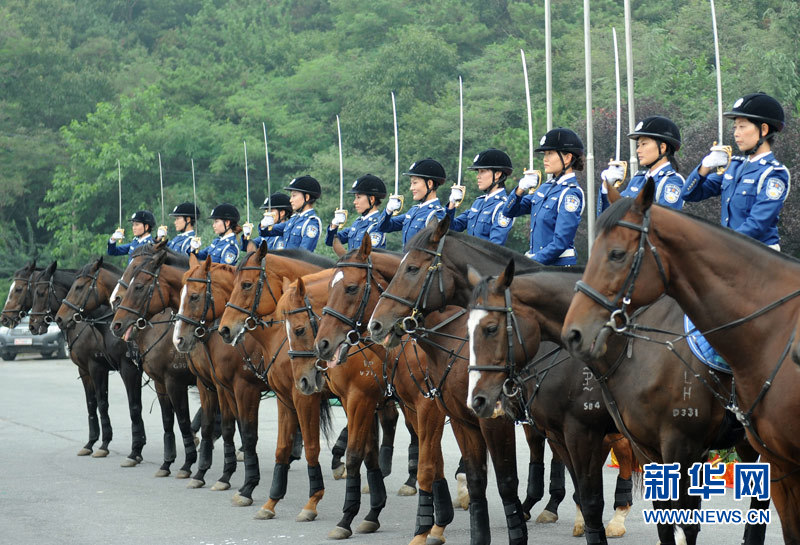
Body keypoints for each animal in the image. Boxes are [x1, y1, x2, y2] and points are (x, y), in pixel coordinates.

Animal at [28, 260, 147, 464]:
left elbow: (123, 405)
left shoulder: (116, 368)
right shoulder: (86, 370)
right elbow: (92, 403)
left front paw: (128, 448)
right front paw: (92, 443)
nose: (33, 325)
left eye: (41, 293)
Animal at [468, 262, 768, 540]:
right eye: (468, 328)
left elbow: (593, 499)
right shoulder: (562, 435)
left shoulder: (588, 432)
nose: (478, 400)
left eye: (491, 328)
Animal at [564, 178, 800, 540]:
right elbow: (665, 522)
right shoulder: (650, 451)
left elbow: (686, 522)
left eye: (617, 254)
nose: (574, 333)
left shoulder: (683, 447)